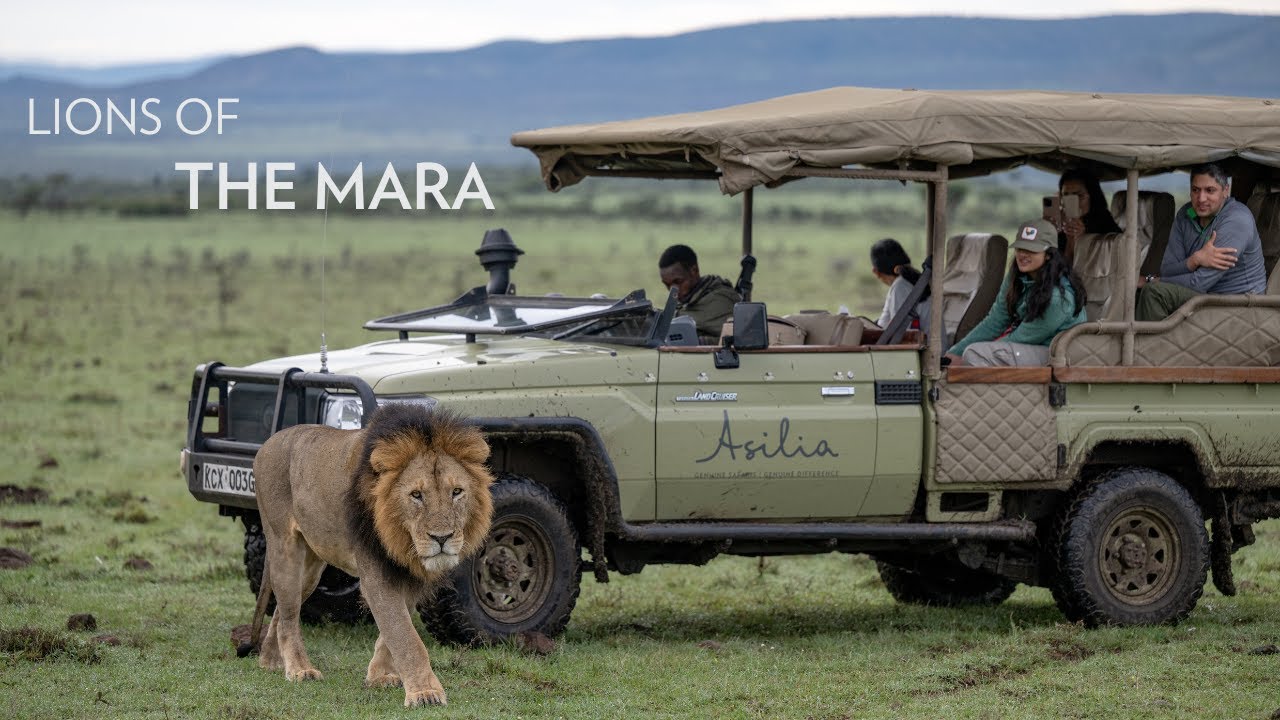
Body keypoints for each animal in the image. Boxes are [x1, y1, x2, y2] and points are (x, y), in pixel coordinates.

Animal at [248, 403, 494, 707]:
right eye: (416, 495)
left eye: (457, 492)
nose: (442, 537)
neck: (401, 539)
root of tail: (266, 444)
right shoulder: (377, 575)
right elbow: (406, 636)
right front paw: (425, 693)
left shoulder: (405, 572)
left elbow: (394, 630)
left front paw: (380, 676)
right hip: (284, 547)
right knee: (290, 614)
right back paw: (299, 669)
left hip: (311, 567)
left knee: (282, 609)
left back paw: (270, 660)